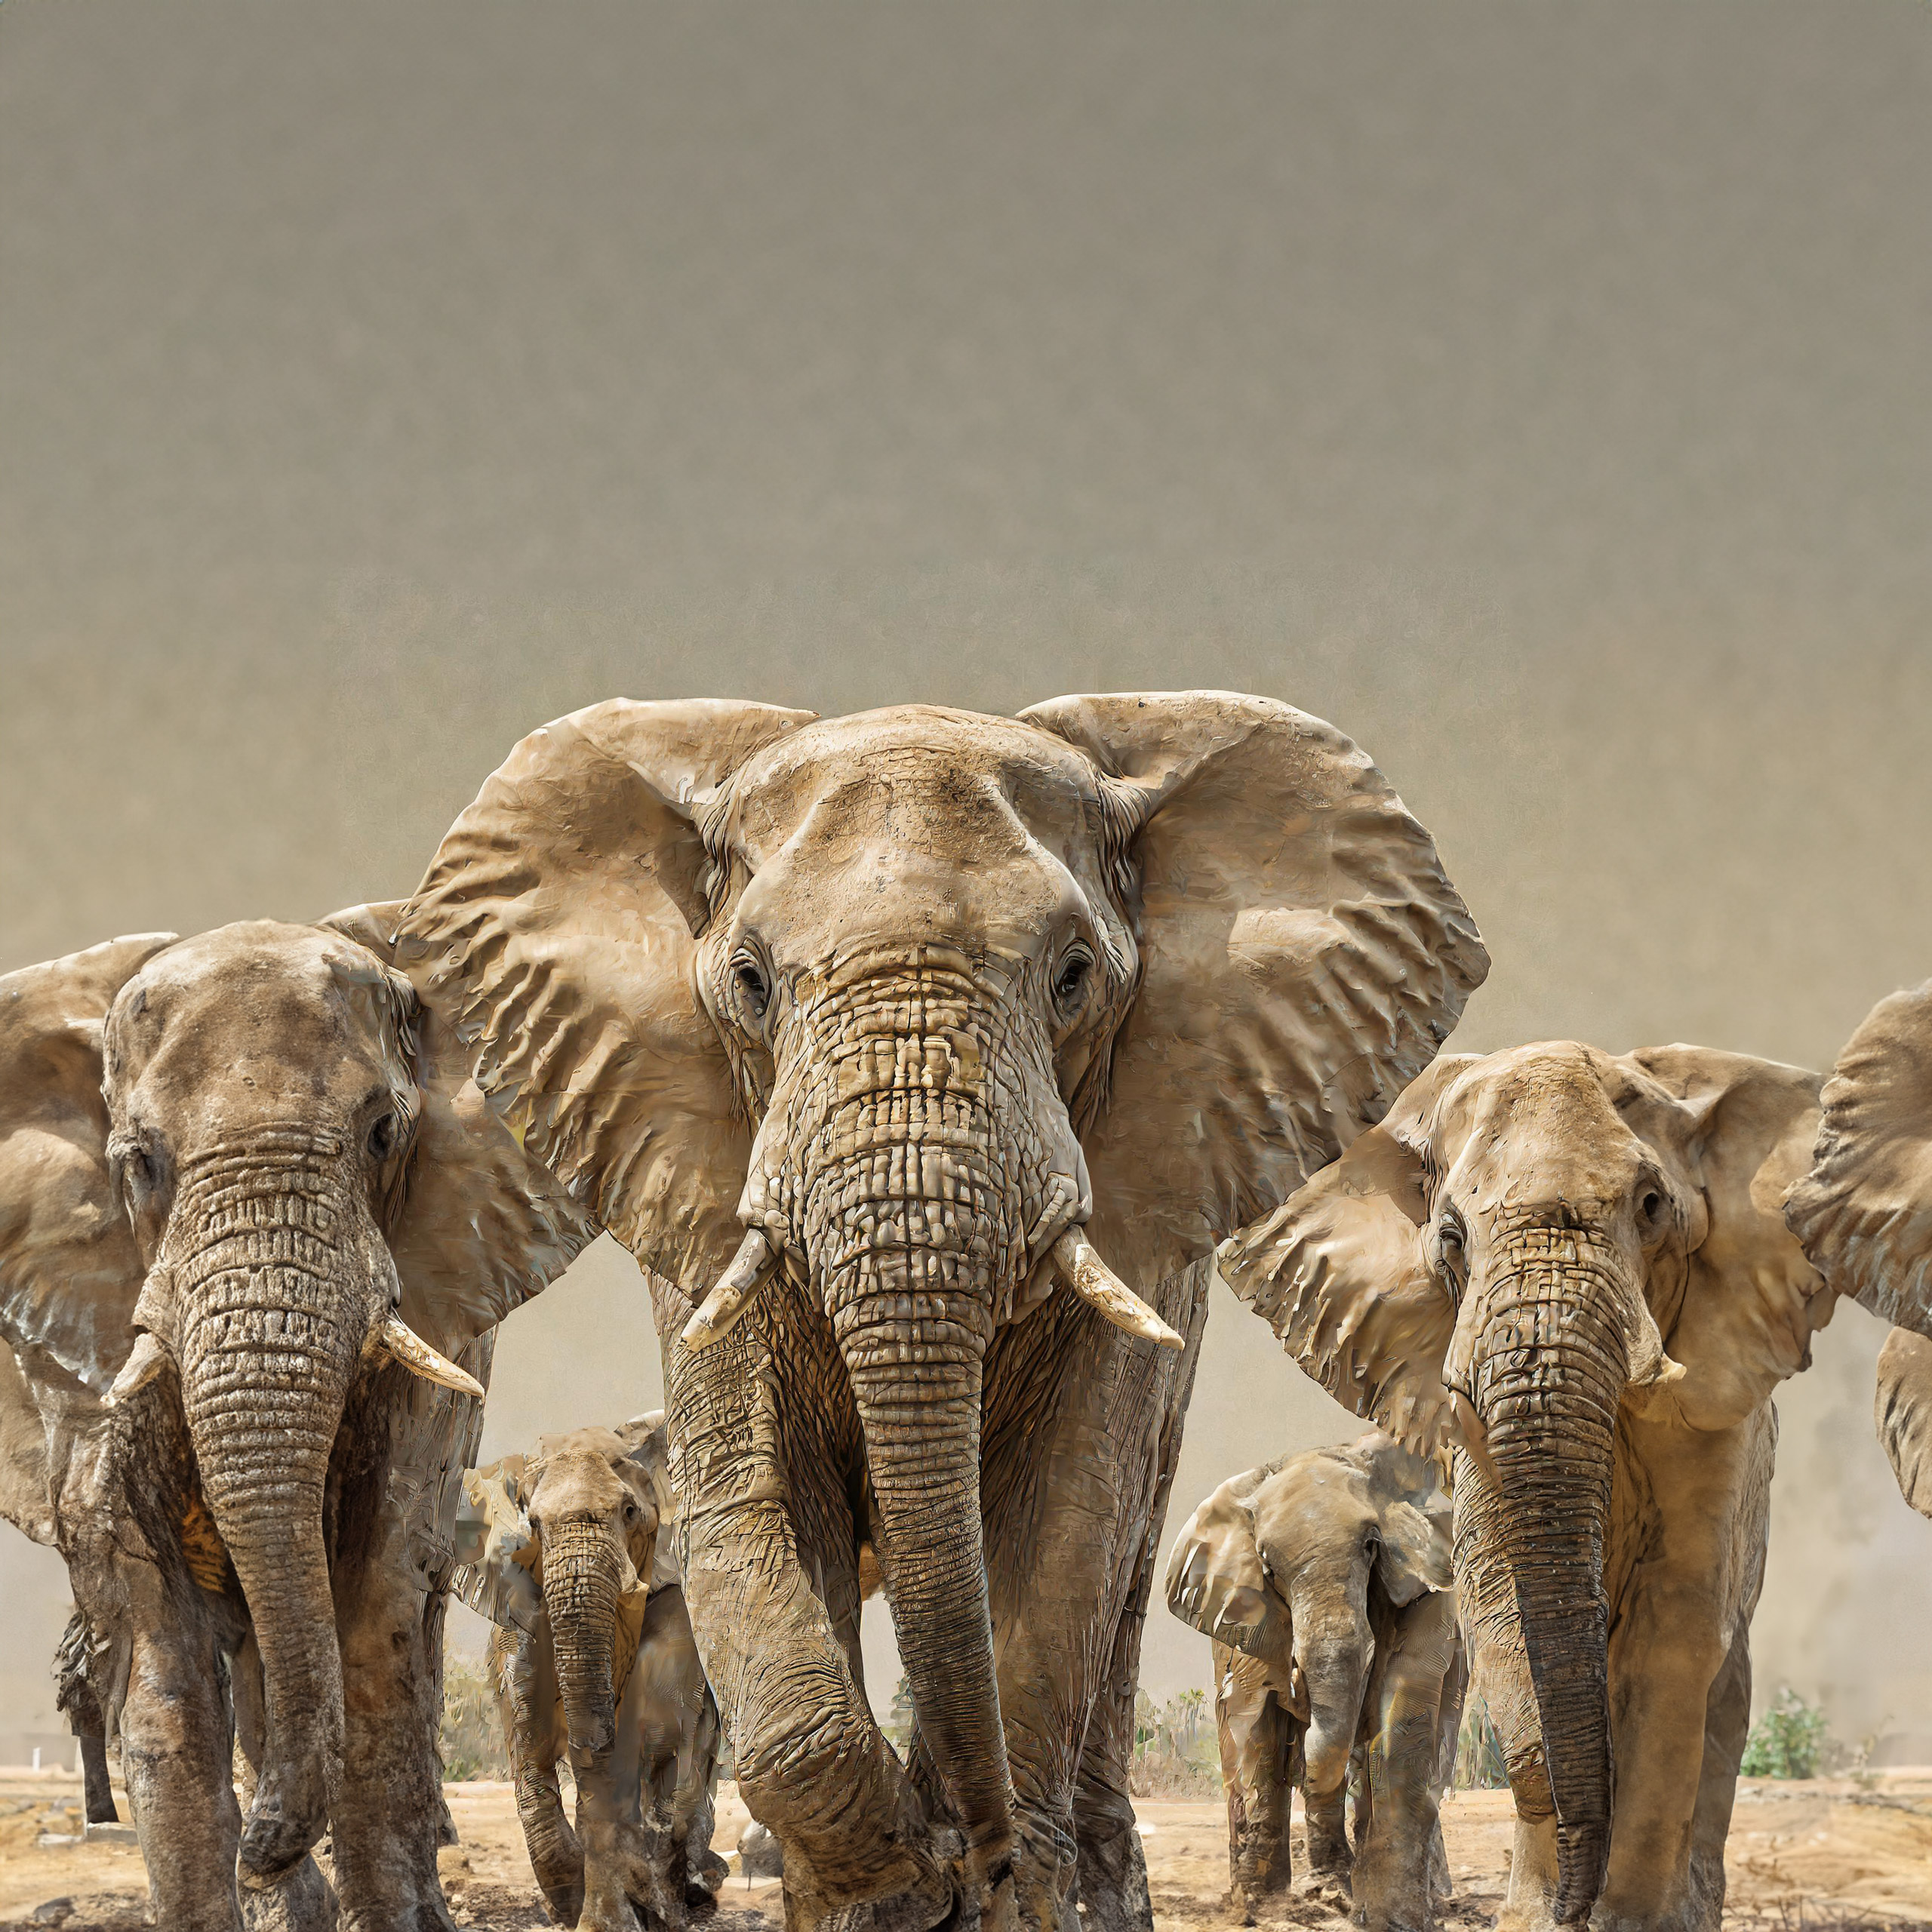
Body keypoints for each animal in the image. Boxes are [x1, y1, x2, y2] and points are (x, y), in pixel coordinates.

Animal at [453, 1412, 727, 1929]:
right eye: (533, 1525)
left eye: (630, 1512)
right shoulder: (522, 1601)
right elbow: (527, 1721)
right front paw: (575, 1900)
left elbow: (652, 1718)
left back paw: (696, 1885)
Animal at [1165, 1430, 1463, 1930]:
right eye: (1267, 1567)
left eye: (1371, 1545)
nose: (1296, 1680)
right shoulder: (1244, 1617)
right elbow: (1252, 1722)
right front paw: (1258, 1908)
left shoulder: (1425, 1589)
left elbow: (1403, 1710)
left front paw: (1390, 1917)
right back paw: (1327, 1891)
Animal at [1215, 1039, 1864, 1932]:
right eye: (1450, 1236)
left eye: (1652, 1206)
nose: (1574, 1907)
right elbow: (1502, 1610)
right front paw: (1540, 1918)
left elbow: (1675, 1623)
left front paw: (1628, 1923)